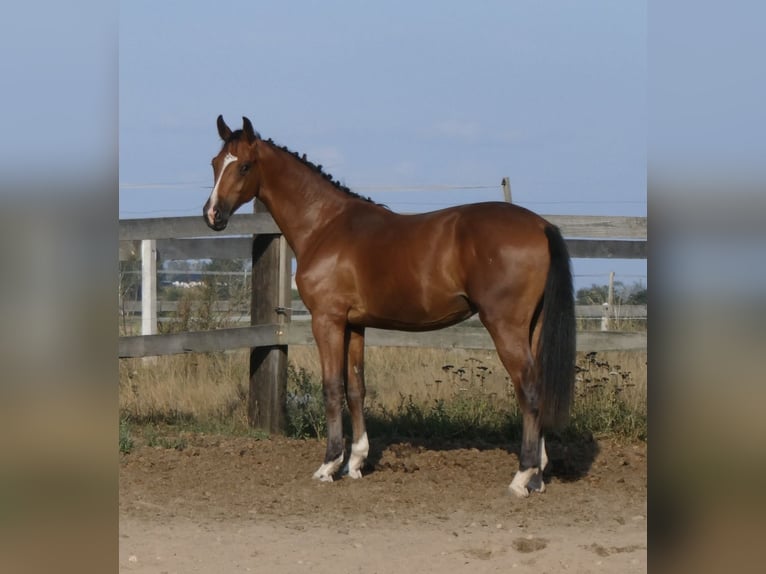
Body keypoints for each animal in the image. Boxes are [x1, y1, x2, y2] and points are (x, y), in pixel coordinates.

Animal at [203, 115, 576, 497]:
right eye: (216, 164)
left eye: (244, 166)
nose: (212, 215)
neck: (325, 225)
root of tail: (541, 225)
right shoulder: (354, 324)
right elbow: (356, 388)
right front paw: (355, 463)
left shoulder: (327, 320)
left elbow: (332, 387)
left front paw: (329, 464)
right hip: (533, 327)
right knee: (538, 387)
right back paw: (539, 476)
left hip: (505, 326)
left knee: (528, 390)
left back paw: (522, 476)